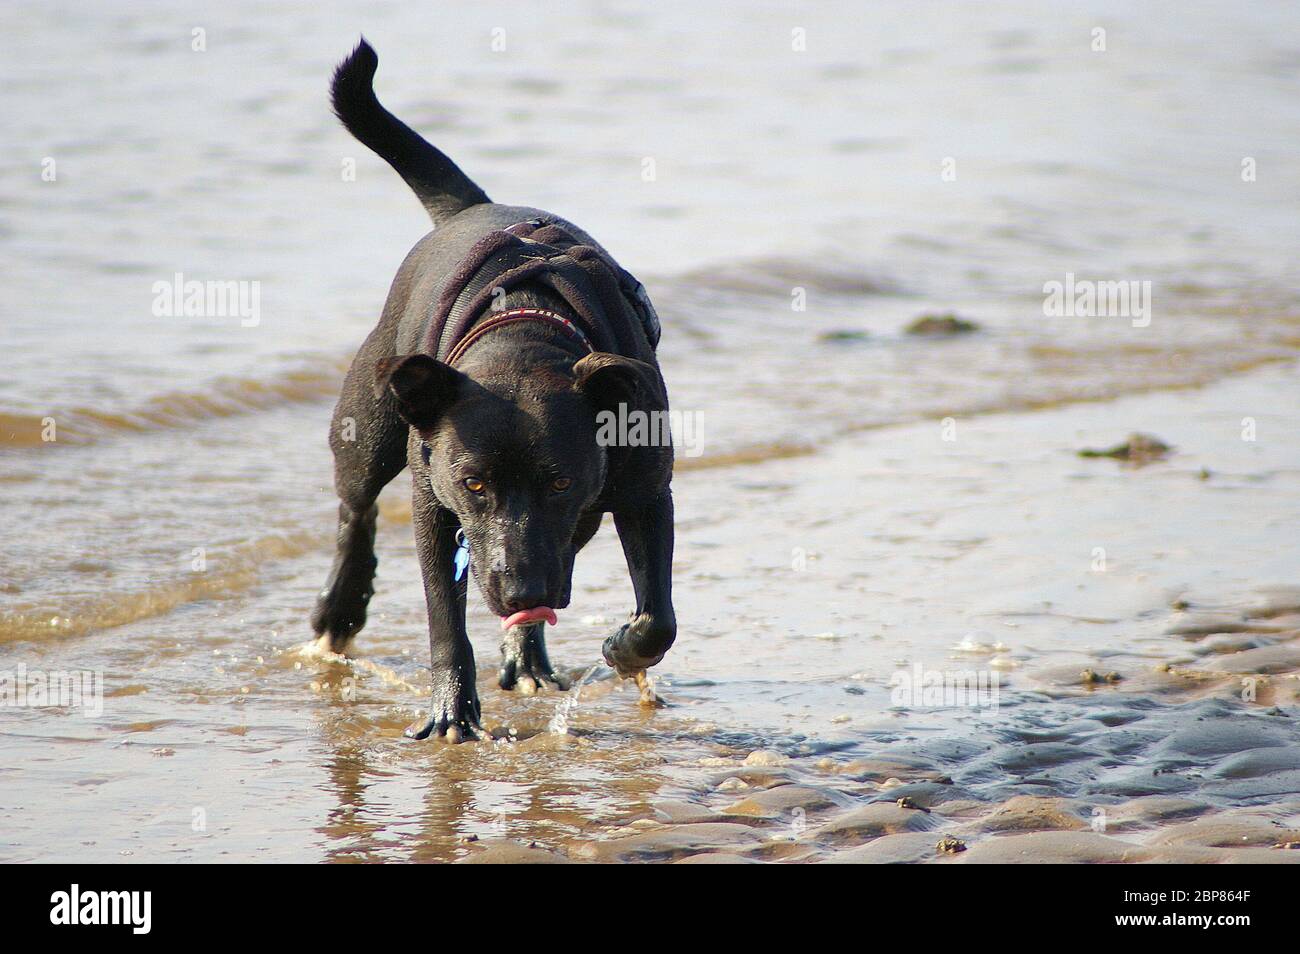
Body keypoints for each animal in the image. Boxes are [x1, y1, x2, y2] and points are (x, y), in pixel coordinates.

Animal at [313, 41, 676, 743]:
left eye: (560, 480)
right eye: (474, 483)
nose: (519, 592)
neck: (524, 332)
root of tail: (470, 208)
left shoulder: (642, 493)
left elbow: (658, 619)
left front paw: (621, 649)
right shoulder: (435, 507)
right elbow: (443, 618)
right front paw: (452, 711)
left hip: (576, 528)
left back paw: (527, 656)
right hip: (369, 424)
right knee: (355, 508)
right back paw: (340, 610)